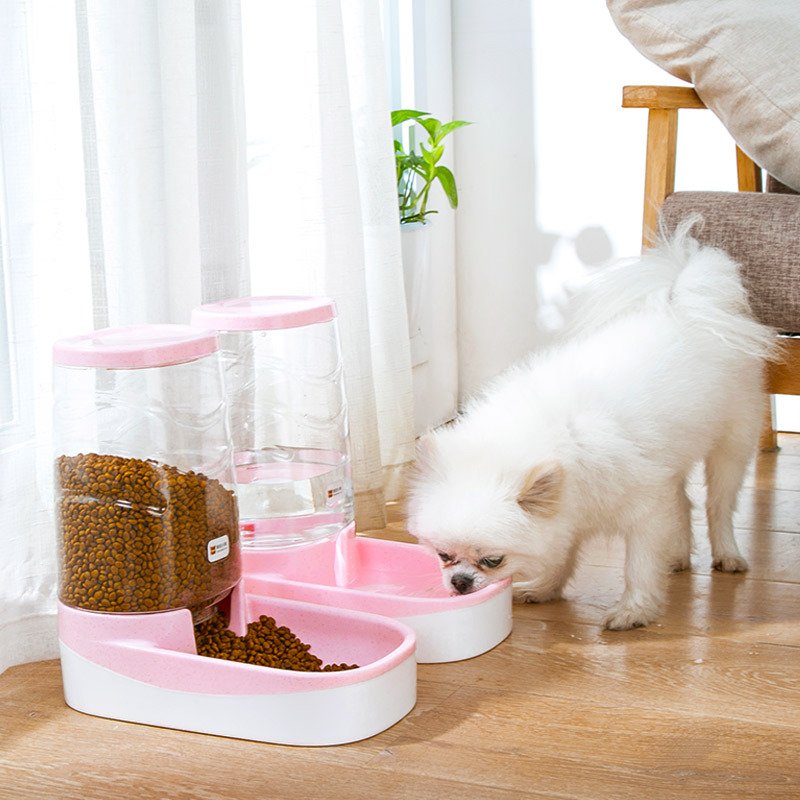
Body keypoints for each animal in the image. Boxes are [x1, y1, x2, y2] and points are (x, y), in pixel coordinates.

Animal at [410, 222, 780, 628]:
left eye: (493, 560)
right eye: (443, 555)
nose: (460, 582)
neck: (559, 436)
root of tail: (683, 302)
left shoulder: (645, 507)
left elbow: (639, 564)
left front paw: (634, 611)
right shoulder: (574, 509)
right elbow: (561, 553)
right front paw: (545, 589)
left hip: (732, 444)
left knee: (719, 505)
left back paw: (728, 554)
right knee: (683, 503)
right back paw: (678, 555)